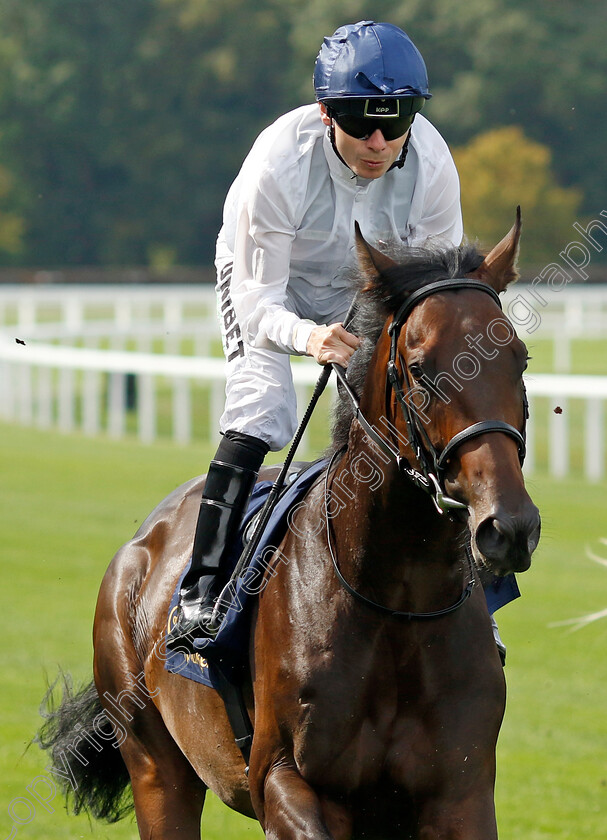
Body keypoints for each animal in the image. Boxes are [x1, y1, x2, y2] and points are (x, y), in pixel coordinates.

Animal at [39, 213, 540, 836]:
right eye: (420, 370)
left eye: (519, 359)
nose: (509, 526)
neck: (396, 603)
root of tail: (139, 546)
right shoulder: (284, 777)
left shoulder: (461, 793)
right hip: (156, 766)